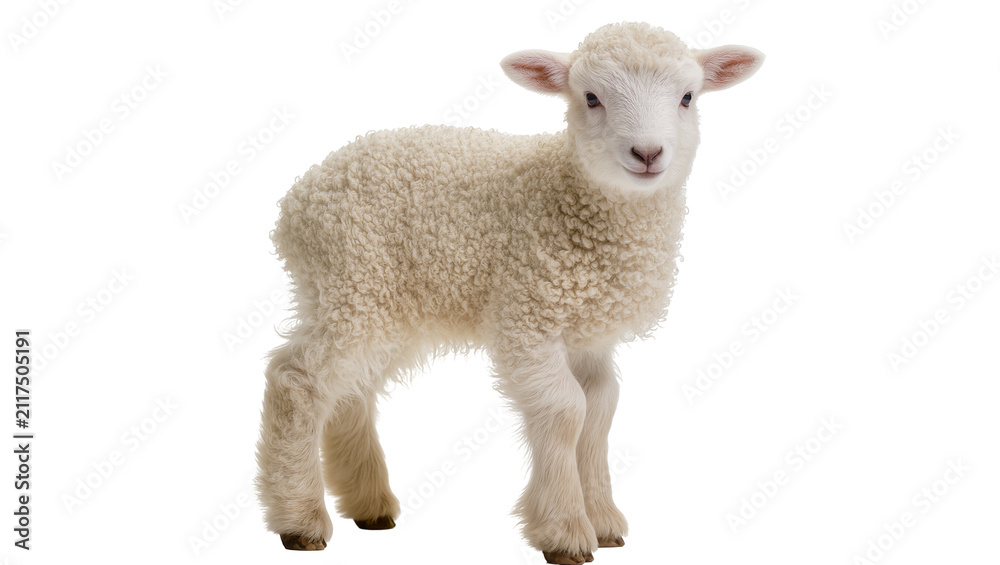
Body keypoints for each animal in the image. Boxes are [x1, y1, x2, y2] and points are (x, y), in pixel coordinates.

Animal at [255, 21, 763, 564]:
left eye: (688, 97)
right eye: (591, 97)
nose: (647, 154)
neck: (571, 198)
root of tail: (298, 199)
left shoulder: (589, 336)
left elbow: (600, 410)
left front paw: (604, 521)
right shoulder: (527, 314)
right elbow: (566, 410)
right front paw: (565, 530)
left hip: (379, 302)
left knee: (353, 390)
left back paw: (369, 505)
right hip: (351, 281)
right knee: (298, 381)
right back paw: (300, 519)